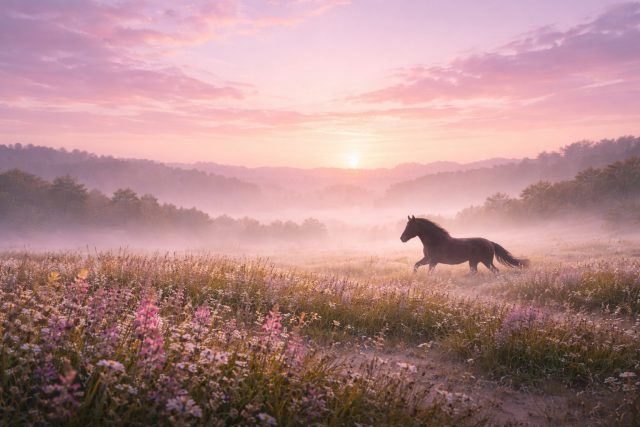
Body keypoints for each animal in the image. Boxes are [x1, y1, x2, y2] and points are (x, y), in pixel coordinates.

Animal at [400, 215, 529, 274]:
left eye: (410, 226)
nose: (402, 238)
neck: (435, 241)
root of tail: (490, 243)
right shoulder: (427, 259)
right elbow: (416, 265)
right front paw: (414, 275)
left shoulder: (433, 260)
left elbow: (429, 272)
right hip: (474, 262)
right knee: (474, 272)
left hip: (486, 261)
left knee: (495, 270)